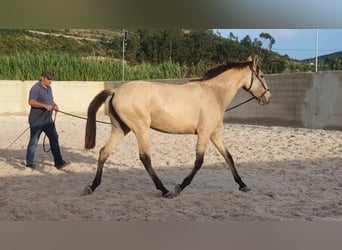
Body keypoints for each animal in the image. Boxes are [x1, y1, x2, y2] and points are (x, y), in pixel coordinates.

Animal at [84, 55, 272, 198]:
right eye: (262, 76)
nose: (268, 98)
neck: (214, 93)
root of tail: (116, 91)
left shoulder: (214, 134)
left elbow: (229, 157)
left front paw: (243, 185)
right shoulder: (204, 133)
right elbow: (199, 161)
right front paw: (180, 187)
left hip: (121, 129)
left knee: (104, 152)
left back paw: (92, 186)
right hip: (140, 129)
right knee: (145, 158)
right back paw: (164, 190)